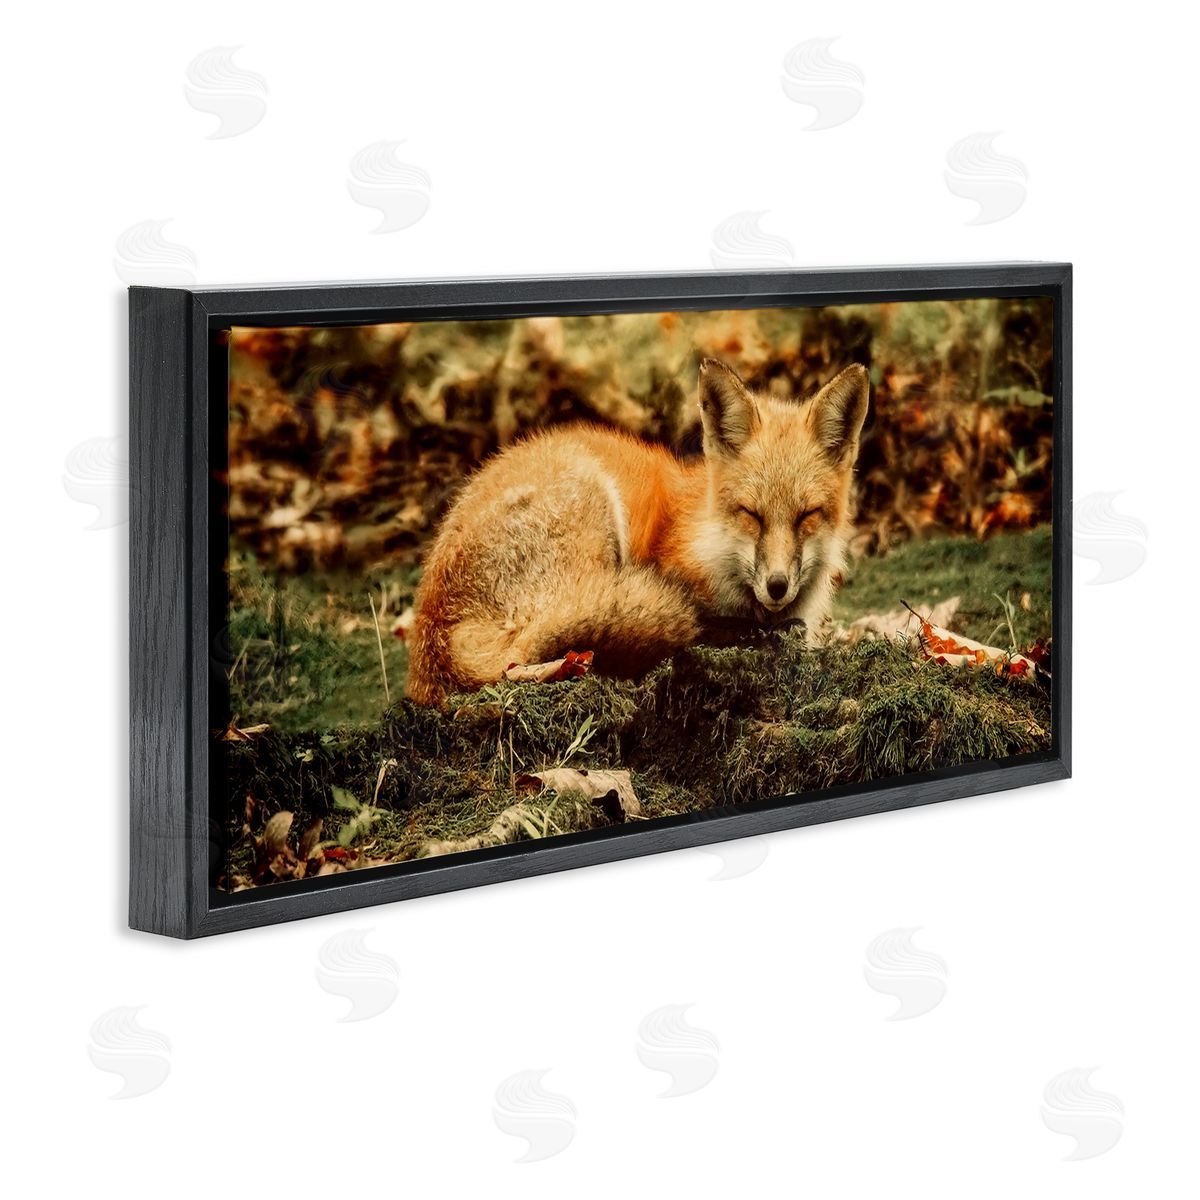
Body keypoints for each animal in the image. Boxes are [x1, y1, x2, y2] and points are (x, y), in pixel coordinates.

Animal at [405, 358, 870, 706]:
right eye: (751, 514)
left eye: (806, 515)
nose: (777, 586)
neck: (711, 543)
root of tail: (432, 633)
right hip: (592, 502)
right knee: (533, 654)